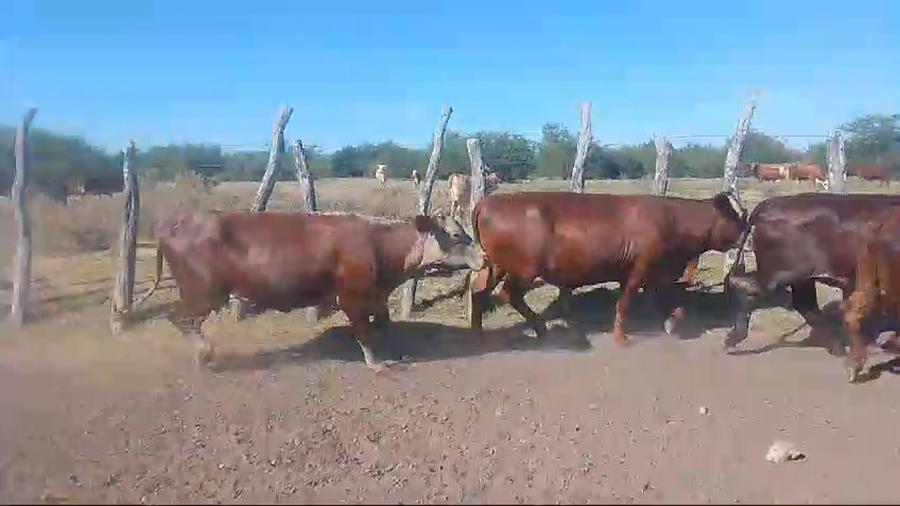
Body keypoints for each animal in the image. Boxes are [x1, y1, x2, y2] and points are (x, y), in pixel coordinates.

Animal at [134, 210, 487, 372]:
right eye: (456, 235)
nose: (484, 257)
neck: (379, 245)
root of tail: (174, 225)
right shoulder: (352, 299)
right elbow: (364, 333)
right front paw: (375, 364)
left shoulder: (377, 296)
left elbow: (385, 327)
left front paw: (396, 351)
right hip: (202, 293)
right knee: (177, 317)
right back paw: (204, 353)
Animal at [468, 191, 747, 344]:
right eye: (733, 216)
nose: (746, 232)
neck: (672, 219)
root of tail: (488, 201)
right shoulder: (639, 271)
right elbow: (625, 304)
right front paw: (620, 337)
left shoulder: (655, 273)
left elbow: (669, 300)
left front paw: (672, 323)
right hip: (523, 271)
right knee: (508, 295)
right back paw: (539, 329)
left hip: (496, 266)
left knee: (479, 292)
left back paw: (479, 334)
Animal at [724, 193, 900, 356]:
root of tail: (770, 203)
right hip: (780, 274)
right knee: (742, 285)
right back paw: (733, 337)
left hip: (801, 278)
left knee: (805, 305)